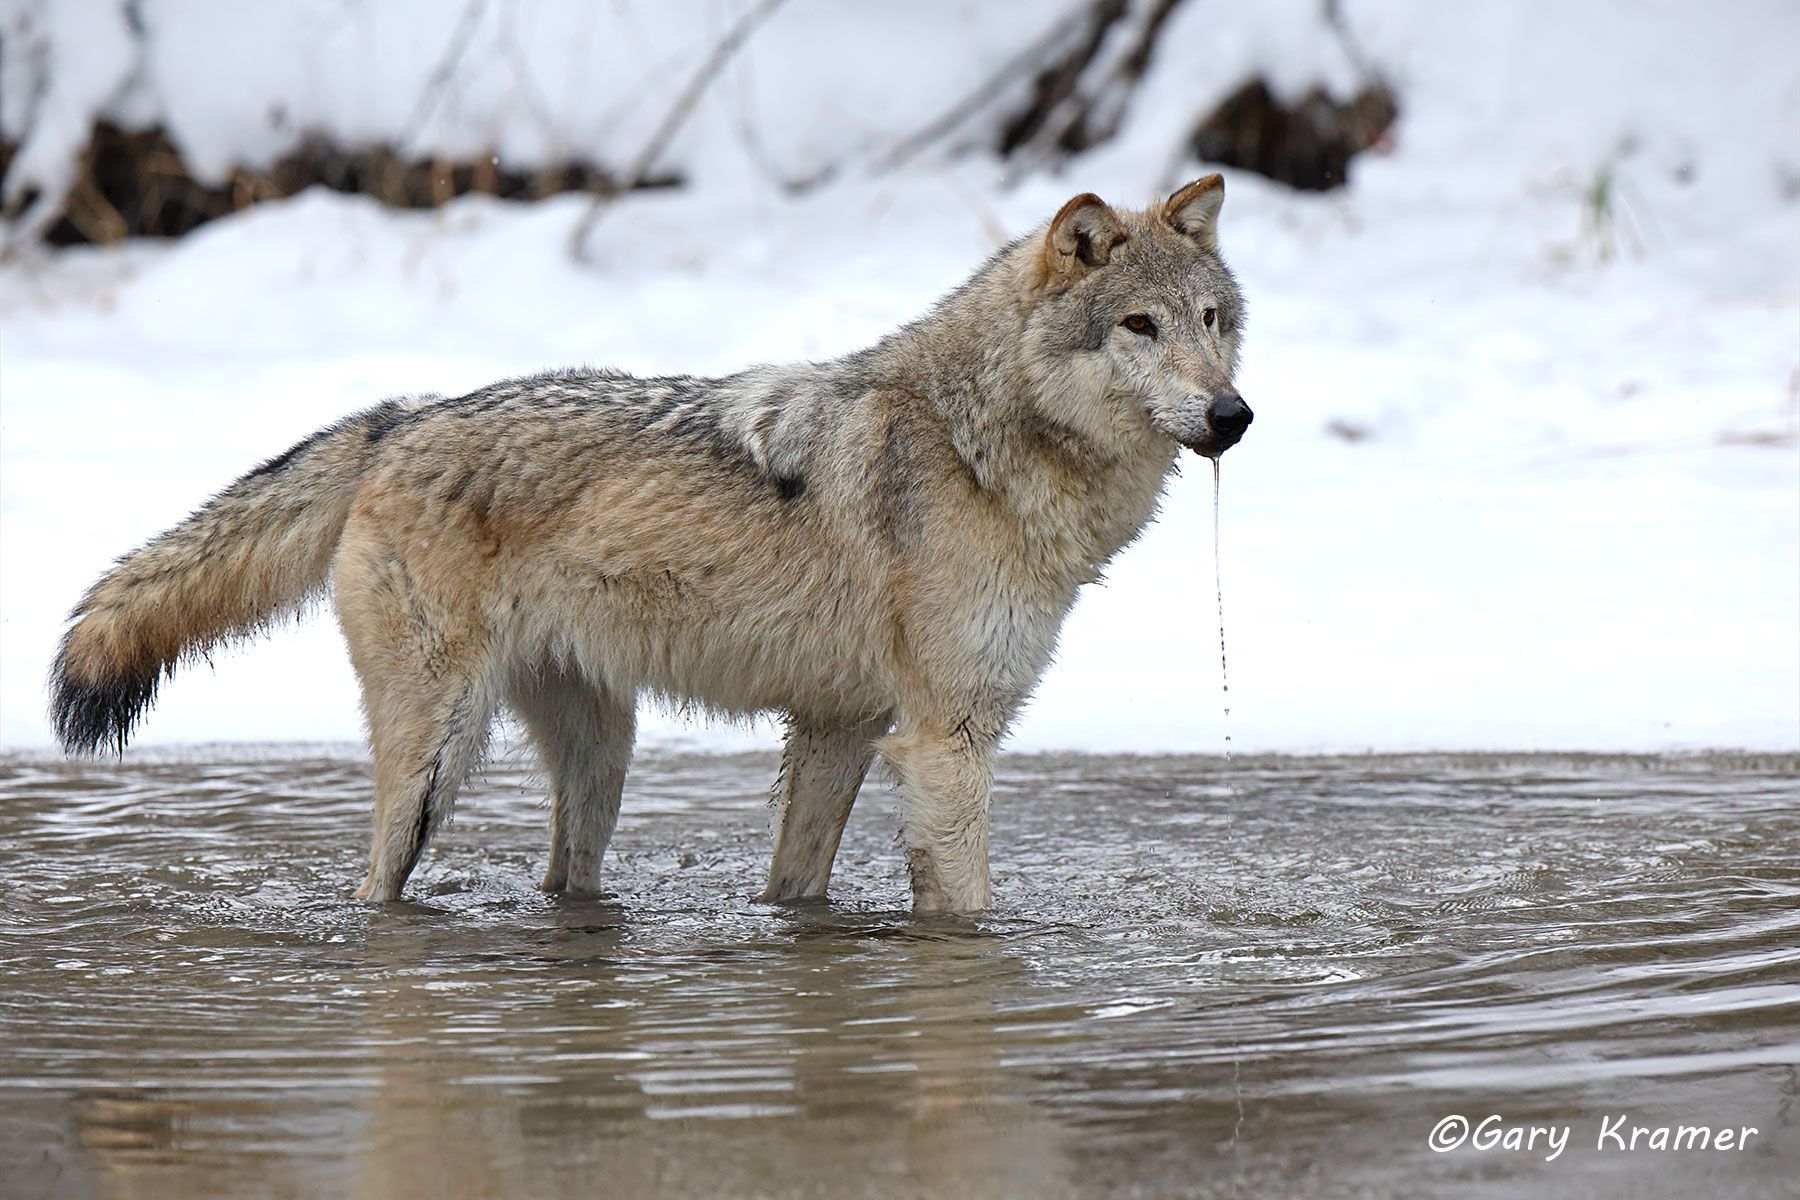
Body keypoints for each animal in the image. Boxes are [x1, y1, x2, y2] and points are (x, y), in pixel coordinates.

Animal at [49, 176, 1251, 913]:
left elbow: (794, 885)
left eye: (1210, 322)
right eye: (1137, 326)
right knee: (375, 887)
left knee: (564, 881)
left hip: (601, 756)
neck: (973, 443)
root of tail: (403, 417)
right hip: (437, 762)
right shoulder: (947, 743)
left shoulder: (843, 729)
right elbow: (969, 913)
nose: (1233, 416)